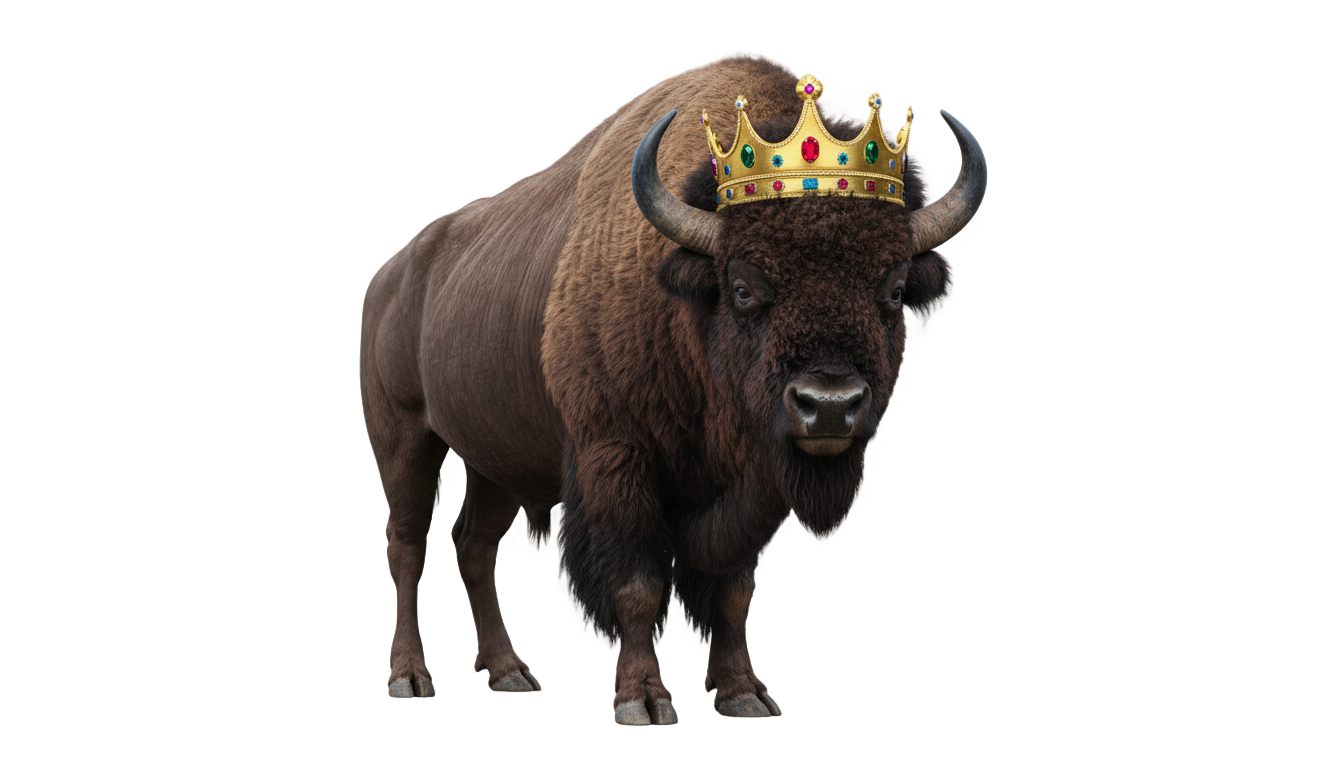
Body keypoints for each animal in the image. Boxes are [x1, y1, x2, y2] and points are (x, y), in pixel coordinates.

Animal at [360, 55, 985, 723]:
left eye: (892, 291)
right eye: (742, 287)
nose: (829, 407)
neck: (687, 309)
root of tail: (386, 279)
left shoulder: (745, 484)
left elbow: (734, 591)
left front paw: (742, 695)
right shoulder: (615, 461)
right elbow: (639, 587)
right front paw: (642, 701)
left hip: (494, 459)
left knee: (473, 547)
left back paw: (507, 674)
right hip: (404, 437)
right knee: (406, 545)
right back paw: (410, 679)